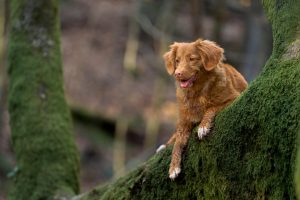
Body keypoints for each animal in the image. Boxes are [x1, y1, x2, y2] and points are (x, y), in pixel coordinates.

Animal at [156, 39, 247, 180]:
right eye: (177, 60)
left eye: (192, 59)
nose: (177, 74)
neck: (196, 93)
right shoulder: (184, 121)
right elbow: (177, 143)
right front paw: (173, 167)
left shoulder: (233, 98)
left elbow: (211, 108)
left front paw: (203, 126)